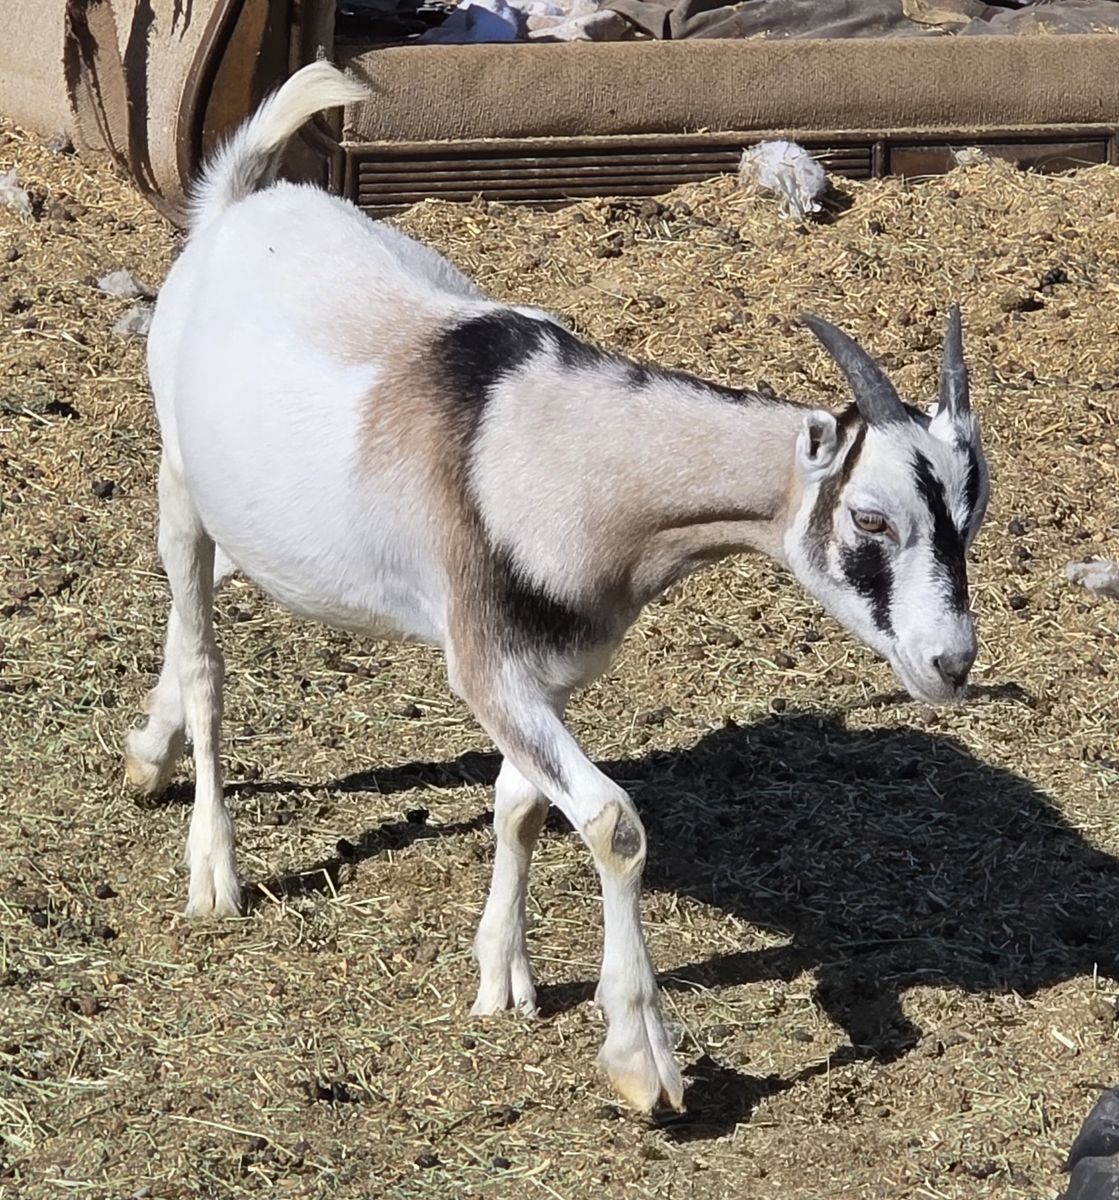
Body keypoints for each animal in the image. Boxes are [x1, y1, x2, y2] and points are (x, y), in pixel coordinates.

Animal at [124, 62, 990, 1114]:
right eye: (870, 519)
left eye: (973, 510)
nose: (948, 663)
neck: (540, 440)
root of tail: (243, 200)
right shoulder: (485, 665)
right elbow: (613, 822)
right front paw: (641, 1059)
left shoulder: (551, 674)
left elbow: (523, 806)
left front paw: (503, 974)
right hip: (179, 483)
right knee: (204, 659)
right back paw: (214, 869)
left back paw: (149, 755)